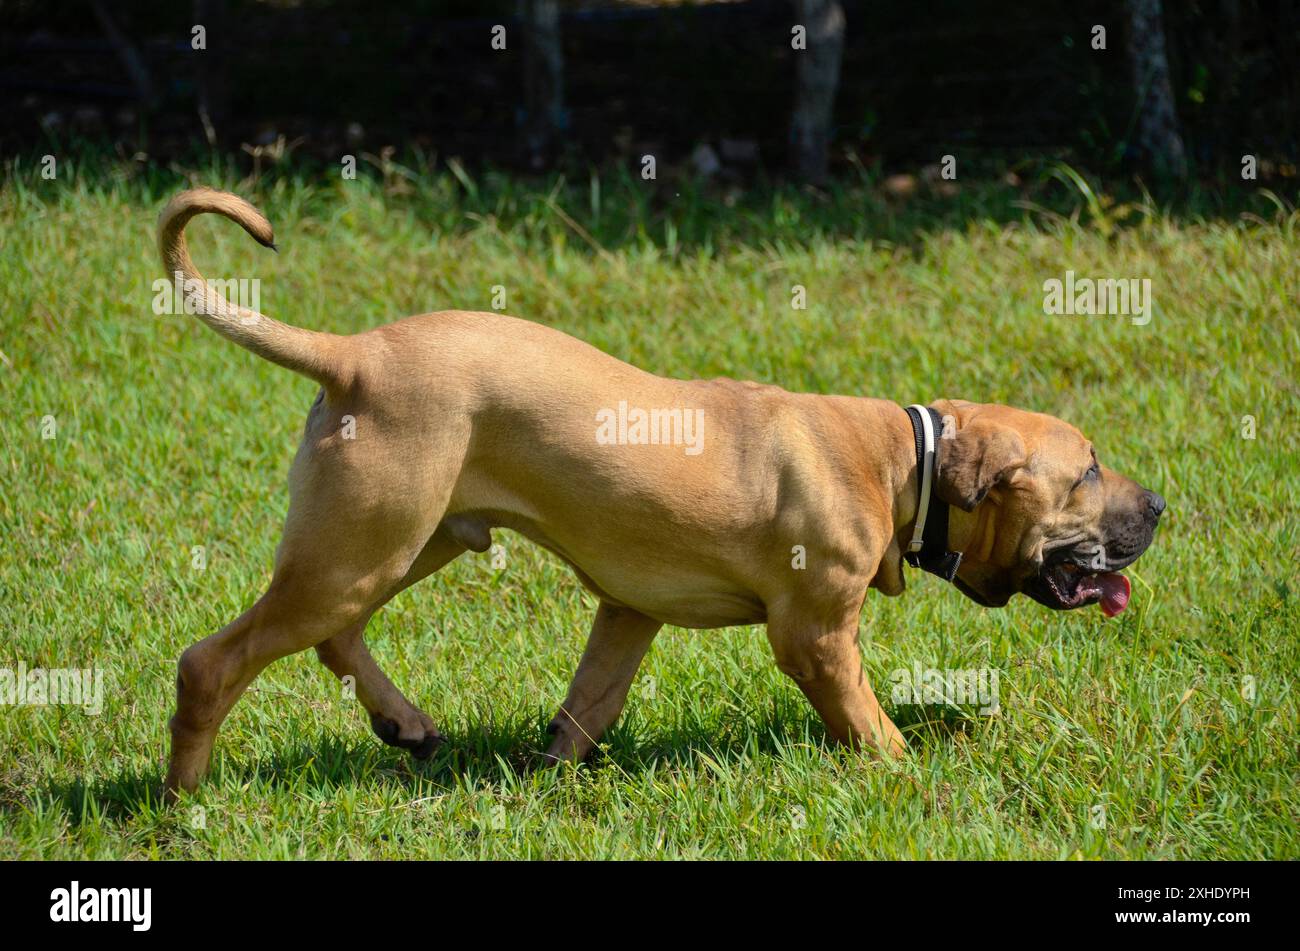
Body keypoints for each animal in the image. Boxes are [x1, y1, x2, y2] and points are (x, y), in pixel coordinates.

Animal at [157, 187, 1164, 795]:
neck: (898, 459)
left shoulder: (626, 615)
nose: (1159, 508)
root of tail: (353, 354)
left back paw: (402, 723)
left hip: (407, 539)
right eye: (1086, 470)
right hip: (363, 546)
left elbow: (584, 709)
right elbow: (871, 724)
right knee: (215, 661)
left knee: (336, 636)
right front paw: (910, 772)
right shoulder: (816, 638)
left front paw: (547, 783)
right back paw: (183, 801)